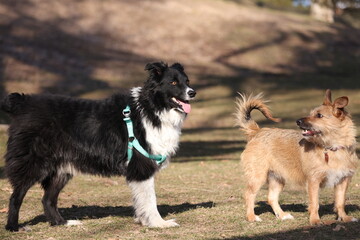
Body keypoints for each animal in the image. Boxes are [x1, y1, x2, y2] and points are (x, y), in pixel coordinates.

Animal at [1, 61, 195, 231]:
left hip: (62, 170)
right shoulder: (141, 167)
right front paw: (158, 223)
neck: (152, 107)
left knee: (47, 199)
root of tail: (23, 103)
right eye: (173, 82)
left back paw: (62, 223)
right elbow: (149, 200)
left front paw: (144, 220)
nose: (192, 93)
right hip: (32, 165)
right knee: (15, 197)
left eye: (187, 81)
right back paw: (13, 227)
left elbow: (141, 200)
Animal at [236, 89, 358, 225]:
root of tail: (258, 131)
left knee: (271, 197)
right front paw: (315, 220)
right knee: (249, 194)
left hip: (277, 178)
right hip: (258, 177)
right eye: (311, 113)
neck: (331, 148)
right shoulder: (313, 181)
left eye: (319, 115)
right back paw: (251, 217)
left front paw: (345, 218)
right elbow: (315, 203)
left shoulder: (343, 180)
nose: (297, 121)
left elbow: (340, 203)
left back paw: (282, 215)